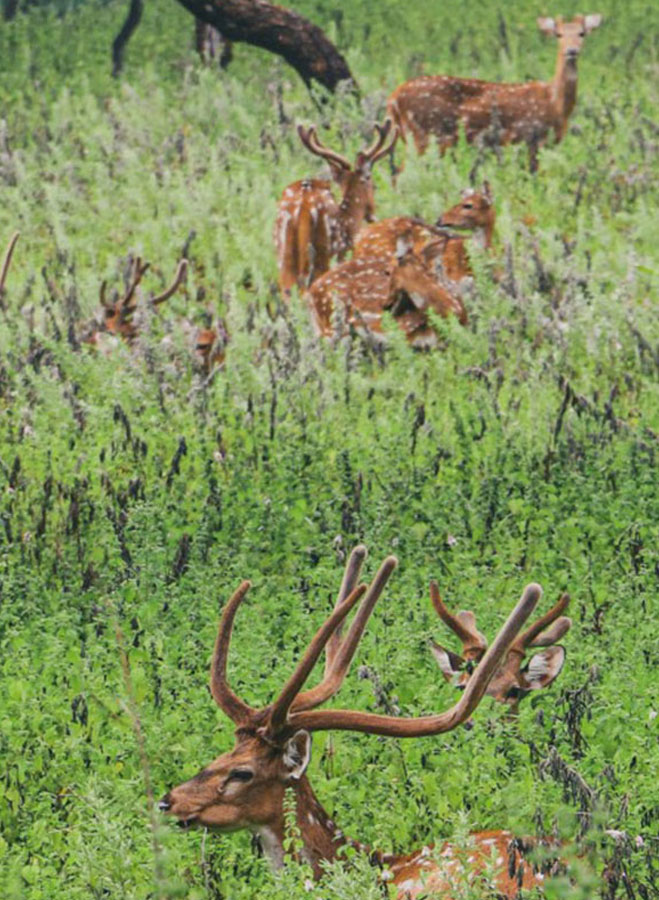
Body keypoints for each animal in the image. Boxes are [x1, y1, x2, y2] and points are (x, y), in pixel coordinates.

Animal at [274, 118, 398, 296]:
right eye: (371, 182)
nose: (372, 215)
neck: (349, 218)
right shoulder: (343, 249)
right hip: (319, 252)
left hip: (282, 253)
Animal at [390, 15, 604, 171]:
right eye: (558, 34)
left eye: (582, 33)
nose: (572, 50)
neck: (555, 104)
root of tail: (393, 98)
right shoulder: (532, 138)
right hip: (424, 134)